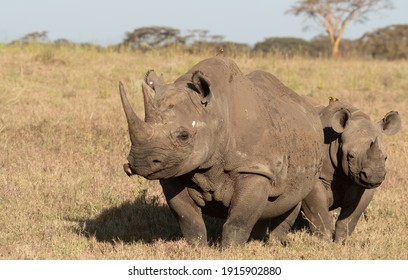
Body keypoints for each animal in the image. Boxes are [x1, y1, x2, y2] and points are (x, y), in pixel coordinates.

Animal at [119, 57, 324, 247]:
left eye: (184, 136)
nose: (141, 162)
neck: (215, 113)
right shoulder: (174, 171)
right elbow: (188, 218)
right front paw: (197, 249)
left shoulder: (254, 168)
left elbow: (239, 220)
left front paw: (230, 251)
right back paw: (257, 242)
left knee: (292, 200)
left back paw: (274, 244)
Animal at [300, 99, 402, 242]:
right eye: (351, 156)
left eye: (385, 157)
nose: (375, 176)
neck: (336, 140)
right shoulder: (315, 177)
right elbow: (318, 211)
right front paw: (324, 242)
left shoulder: (364, 185)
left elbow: (351, 217)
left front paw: (341, 242)